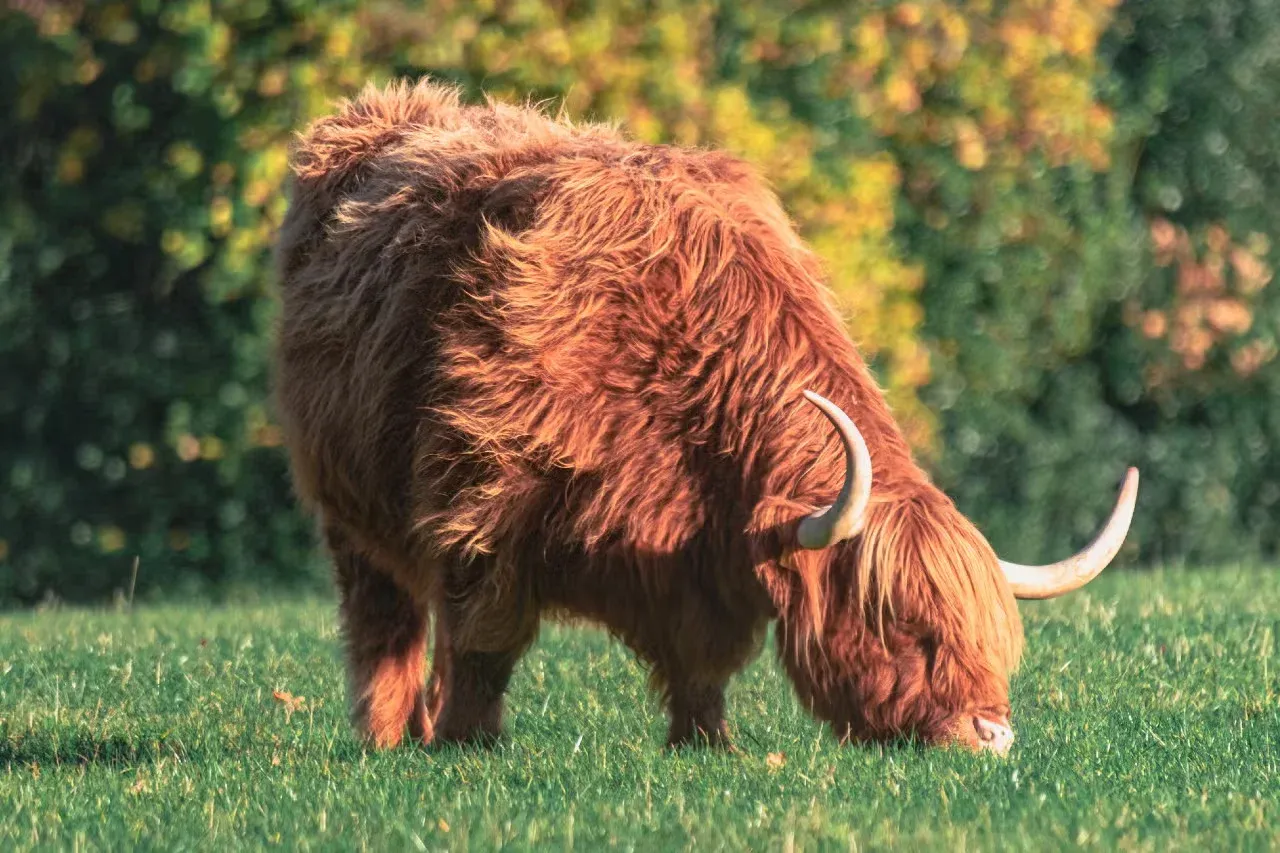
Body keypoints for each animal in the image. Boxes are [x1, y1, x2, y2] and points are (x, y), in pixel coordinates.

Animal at [273, 80, 1138, 755]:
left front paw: (710, 744)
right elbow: (486, 641)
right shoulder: (484, 505)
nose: (991, 735)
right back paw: (394, 737)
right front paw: (469, 743)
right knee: (387, 626)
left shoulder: (697, 558)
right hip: (351, 513)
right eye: (903, 627)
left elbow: (699, 665)